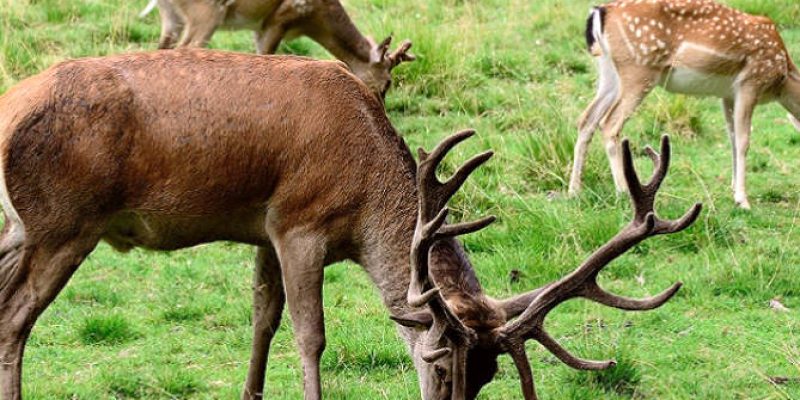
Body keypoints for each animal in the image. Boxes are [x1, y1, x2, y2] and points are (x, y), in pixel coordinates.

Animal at [0, 49, 700, 400]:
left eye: (489, 376)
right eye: (441, 368)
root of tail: (11, 108)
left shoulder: (264, 228)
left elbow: (262, 320)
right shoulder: (300, 224)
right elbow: (310, 336)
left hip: (21, 228)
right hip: (64, 222)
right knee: (15, 317)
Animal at [140, 0, 412, 99]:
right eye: (387, 83)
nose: (380, 104)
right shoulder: (277, 19)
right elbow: (266, 57)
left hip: (172, 17)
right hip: (205, 14)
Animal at [568, 0, 800, 211]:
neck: (782, 79)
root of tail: (600, 12)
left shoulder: (727, 94)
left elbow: (732, 138)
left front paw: (733, 188)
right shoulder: (750, 83)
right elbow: (744, 141)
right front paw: (742, 200)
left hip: (609, 71)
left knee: (586, 119)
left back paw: (574, 191)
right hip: (638, 70)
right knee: (609, 123)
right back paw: (623, 192)